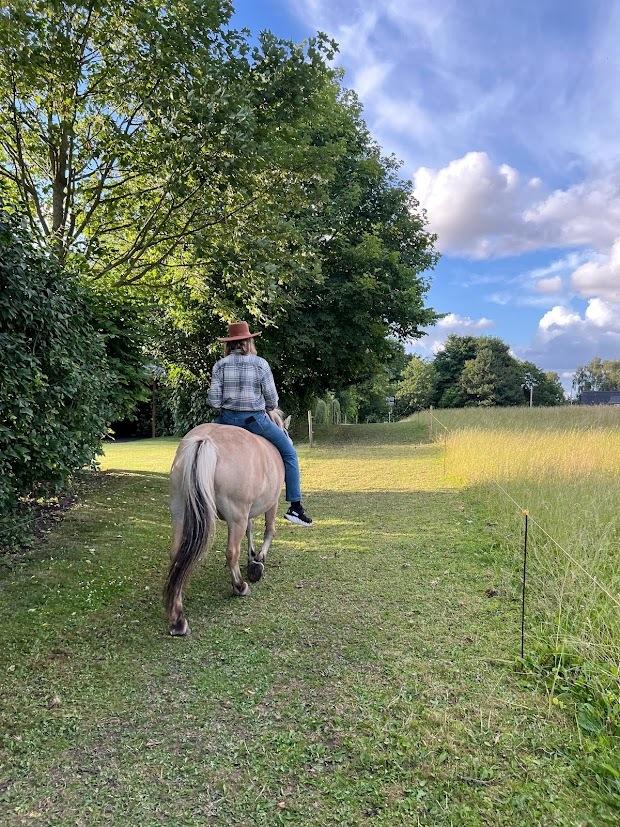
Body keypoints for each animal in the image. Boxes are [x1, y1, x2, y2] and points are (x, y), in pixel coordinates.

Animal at [163, 410, 290, 636]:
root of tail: (205, 440)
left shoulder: (249, 511)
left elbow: (250, 530)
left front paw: (252, 556)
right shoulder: (271, 503)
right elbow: (269, 529)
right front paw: (259, 560)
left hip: (179, 512)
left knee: (176, 554)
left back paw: (178, 619)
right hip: (236, 516)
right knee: (232, 552)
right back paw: (240, 586)